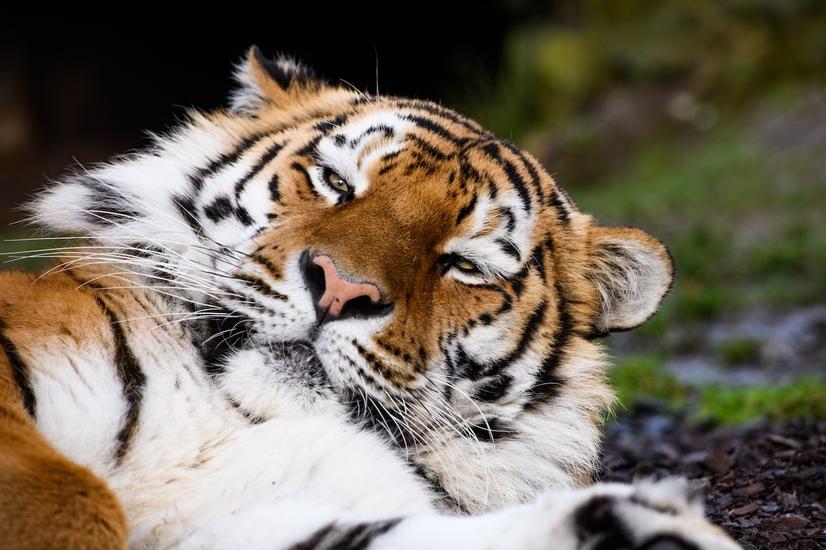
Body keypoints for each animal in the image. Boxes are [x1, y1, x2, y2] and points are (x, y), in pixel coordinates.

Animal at [0, 46, 739, 549]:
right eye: (333, 181)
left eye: (464, 264)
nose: (340, 289)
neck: (241, 417)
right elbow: (79, 494)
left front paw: (646, 528)